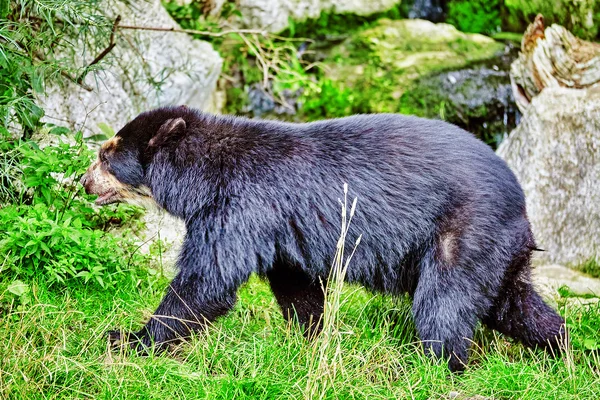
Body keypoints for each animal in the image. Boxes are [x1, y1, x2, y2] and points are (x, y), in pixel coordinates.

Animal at [81, 105, 568, 372]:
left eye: (106, 155)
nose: (82, 183)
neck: (201, 174)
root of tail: (520, 198)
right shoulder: (279, 230)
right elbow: (295, 285)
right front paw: (311, 338)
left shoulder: (238, 207)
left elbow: (206, 282)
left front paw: (128, 339)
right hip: (497, 247)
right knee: (514, 304)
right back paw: (562, 349)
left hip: (460, 232)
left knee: (444, 306)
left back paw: (433, 367)